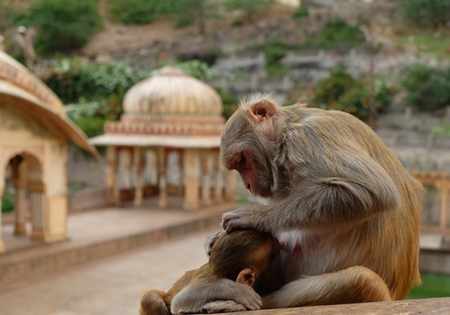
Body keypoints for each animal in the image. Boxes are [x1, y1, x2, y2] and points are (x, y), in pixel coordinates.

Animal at [171, 94, 422, 314]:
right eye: (237, 165)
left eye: (241, 160)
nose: (248, 186)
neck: (288, 128)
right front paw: (214, 239)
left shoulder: (306, 137)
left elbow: (370, 190)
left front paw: (253, 216)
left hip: (379, 295)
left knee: (363, 280)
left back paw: (238, 300)